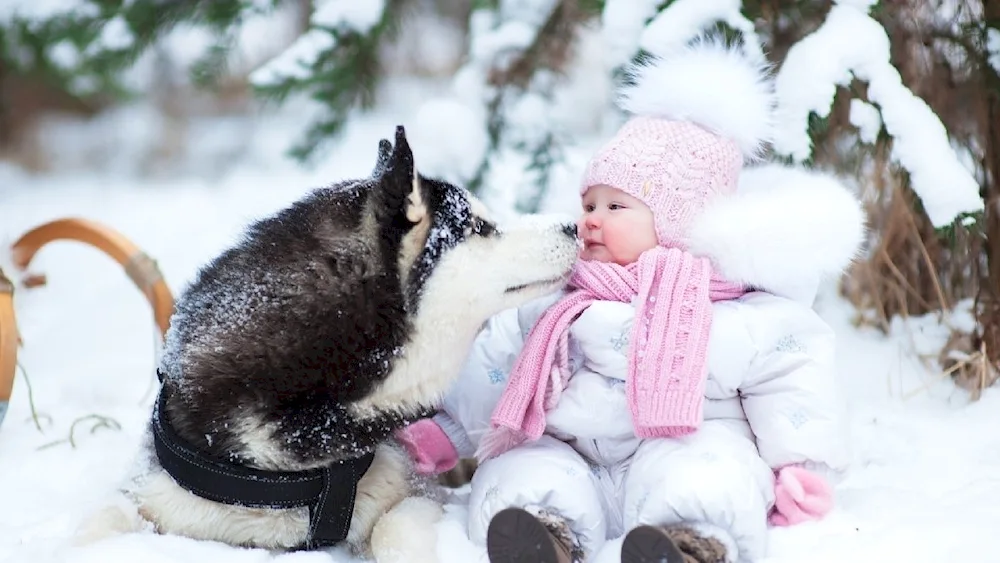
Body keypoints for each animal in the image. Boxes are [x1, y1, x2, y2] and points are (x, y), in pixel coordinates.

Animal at [80, 125, 580, 560]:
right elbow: (99, 522)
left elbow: (395, 527)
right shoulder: (154, 492)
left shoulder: (412, 487)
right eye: (479, 227)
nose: (573, 226)